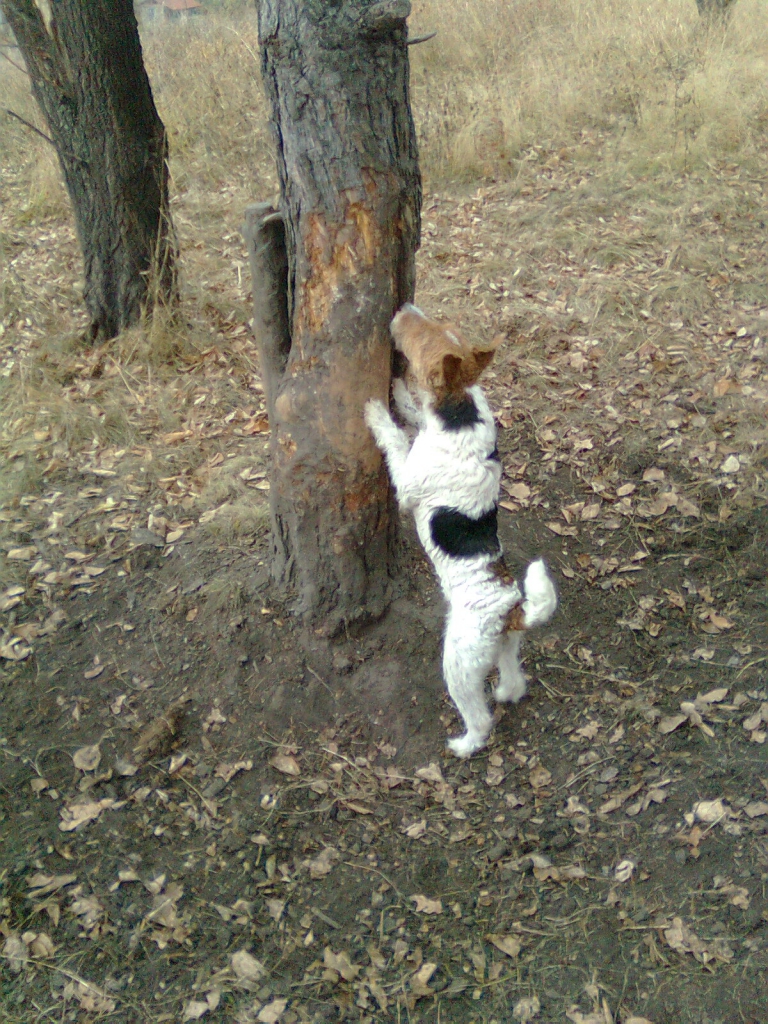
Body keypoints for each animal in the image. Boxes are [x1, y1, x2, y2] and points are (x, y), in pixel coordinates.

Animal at [364, 303, 558, 757]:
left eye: (423, 339)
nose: (403, 308)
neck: (460, 409)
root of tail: (510, 610)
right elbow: (415, 409)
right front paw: (398, 391)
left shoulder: (407, 483)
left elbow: (396, 439)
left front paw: (378, 410)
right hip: (505, 647)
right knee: (514, 680)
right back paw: (506, 693)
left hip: (459, 661)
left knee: (480, 717)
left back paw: (465, 744)